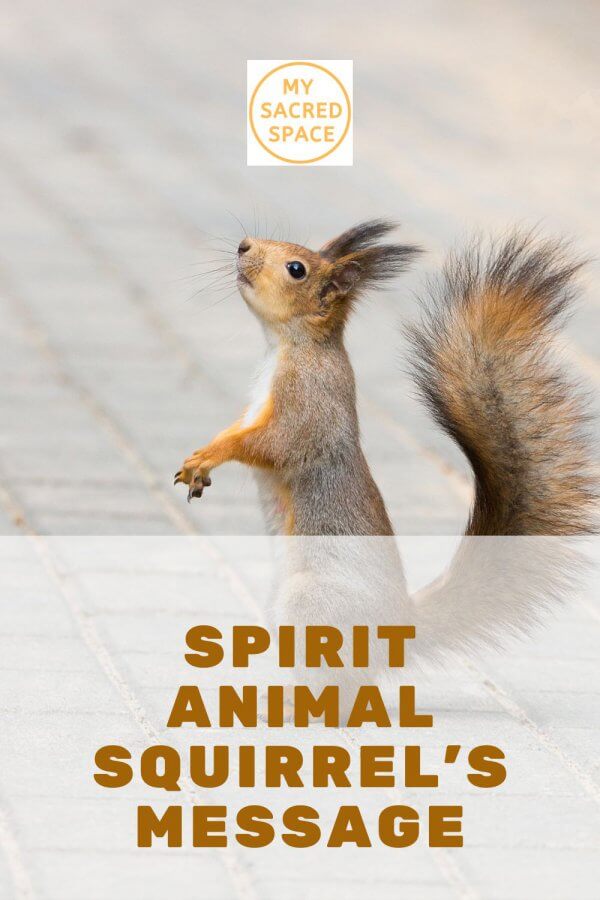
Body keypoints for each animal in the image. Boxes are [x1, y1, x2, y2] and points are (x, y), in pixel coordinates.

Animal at [174, 219, 596, 539]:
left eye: (296, 269)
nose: (243, 245)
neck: (286, 347)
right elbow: (240, 427)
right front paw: (203, 454)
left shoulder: (309, 397)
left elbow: (277, 442)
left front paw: (212, 455)